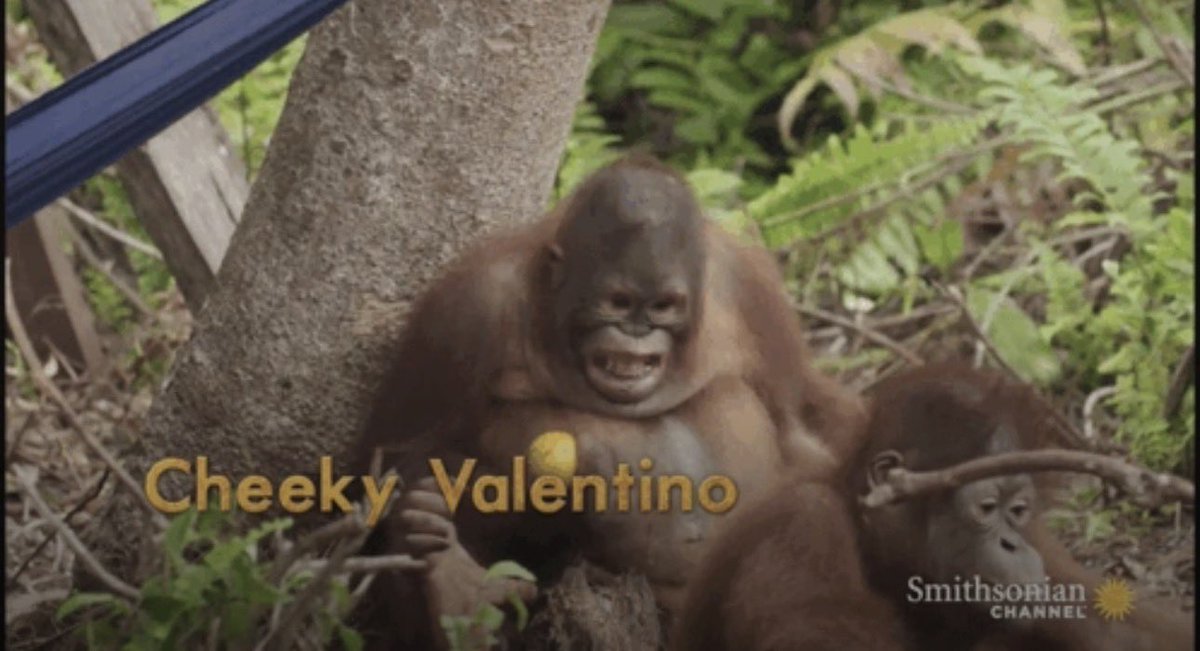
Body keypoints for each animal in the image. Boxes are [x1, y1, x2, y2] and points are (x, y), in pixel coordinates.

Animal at [352, 156, 866, 648]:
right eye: (618, 302)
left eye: (662, 306)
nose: (637, 332)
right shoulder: (464, 310)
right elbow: (401, 450)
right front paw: (438, 563)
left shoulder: (749, 289)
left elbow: (800, 419)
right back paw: (450, 588)